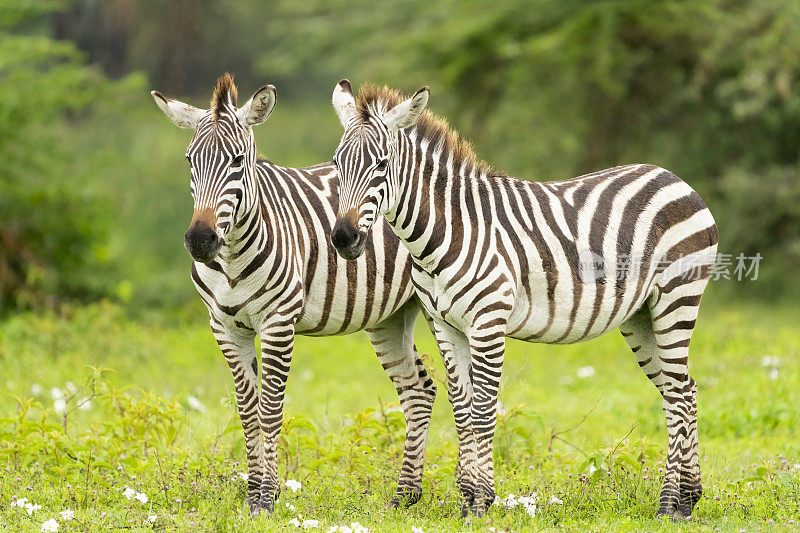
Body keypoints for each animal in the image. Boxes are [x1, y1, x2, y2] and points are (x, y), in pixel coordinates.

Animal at [150, 75, 438, 512]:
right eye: (189, 161)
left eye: (238, 161)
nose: (200, 241)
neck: (231, 258)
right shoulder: (224, 328)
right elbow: (248, 412)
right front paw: (252, 493)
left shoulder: (278, 323)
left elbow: (270, 411)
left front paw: (267, 500)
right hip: (390, 316)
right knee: (418, 391)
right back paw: (405, 495)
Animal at [328, 81, 716, 516]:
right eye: (336, 163)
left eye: (381, 164)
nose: (343, 239)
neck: (446, 233)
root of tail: (672, 176)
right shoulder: (444, 324)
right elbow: (462, 407)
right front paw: (468, 501)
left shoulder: (488, 321)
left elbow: (483, 408)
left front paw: (482, 501)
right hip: (640, 315)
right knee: (682, 390)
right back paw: (688, 498)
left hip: (676, 298)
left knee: (679, 396)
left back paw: (669, 505)